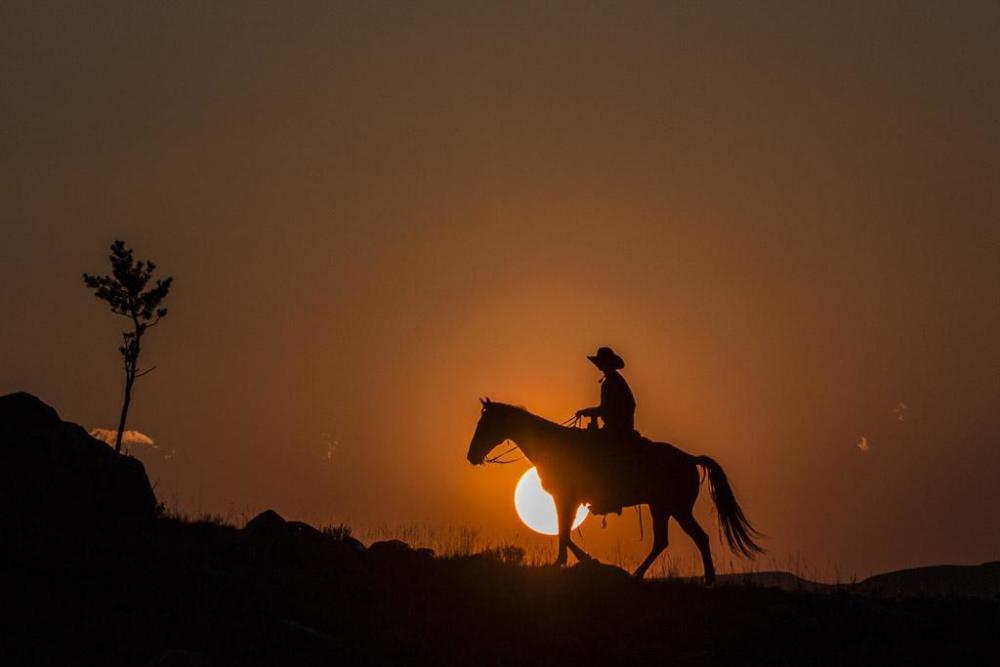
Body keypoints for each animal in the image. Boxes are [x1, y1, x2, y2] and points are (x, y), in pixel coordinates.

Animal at [464, 400, 760, 580]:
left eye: (485, 424)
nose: (471, 456)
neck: (553, 445)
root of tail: (689, 458)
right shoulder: (567, 500)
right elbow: (564, 532)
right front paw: (574, 560)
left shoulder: (565, 498)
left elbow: (563, 532)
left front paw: (572, 561)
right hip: (661, 507)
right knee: (663, 541)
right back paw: (639, 575)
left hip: (676, 508)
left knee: (698, 537)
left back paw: (707, 579)